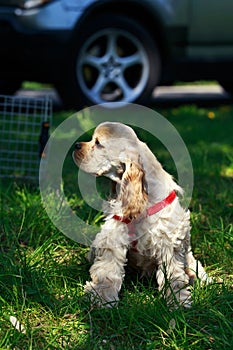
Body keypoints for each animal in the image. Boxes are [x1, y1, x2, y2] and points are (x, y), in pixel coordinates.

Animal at [73, 121, 208, 308]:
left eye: (98, 143)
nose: (76, 145)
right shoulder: (113, 237)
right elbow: (108, 270)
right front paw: (101, 297)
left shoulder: (168, 242)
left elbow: (173, 275)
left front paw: (178, 301)